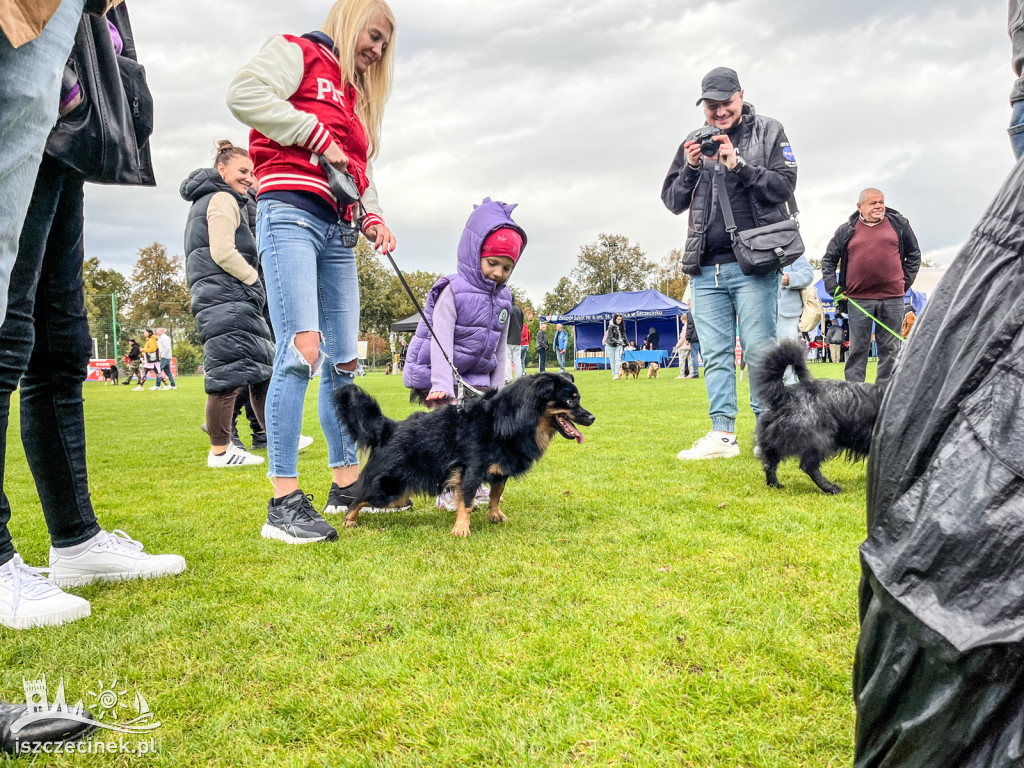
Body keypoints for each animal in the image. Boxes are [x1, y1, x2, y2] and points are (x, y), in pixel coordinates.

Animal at [331, 372, 598, 536]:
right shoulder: (471, 469)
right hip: (388, 486)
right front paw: (461, 528)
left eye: (578, 399)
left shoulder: (499, 470)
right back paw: (350, 520)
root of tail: (390, 428)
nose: (592, 417)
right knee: (359, 497)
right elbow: (467, 500)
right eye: (571, 400)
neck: (506, 419)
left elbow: (496, 494)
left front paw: (495, 515)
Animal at [757, 339, 884, 495]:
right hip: (820, 438)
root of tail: (785, 394)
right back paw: (830, 487)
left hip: (775, 438)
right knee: (807, 465)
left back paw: (774, 483)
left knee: (770, 461)